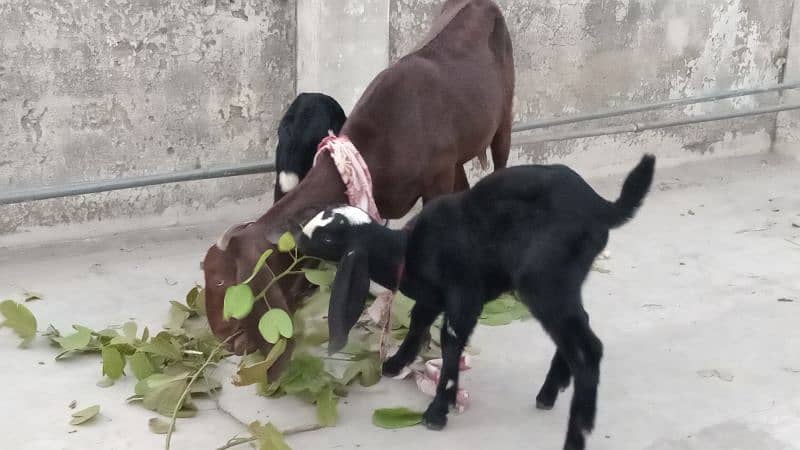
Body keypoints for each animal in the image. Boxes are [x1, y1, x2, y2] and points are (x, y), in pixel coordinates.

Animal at [296, 156, 652, 450]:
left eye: (327, 237)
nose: (298, 237)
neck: (408, 250)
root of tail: (602, 207)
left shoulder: (464, 295)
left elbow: (451, 342)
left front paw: (438, 411)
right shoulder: (434, 295)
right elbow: (418, 321)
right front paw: (395, 364)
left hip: (543, 281)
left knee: (588, 348)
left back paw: (575, 434)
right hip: (563, 282)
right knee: (580, 328)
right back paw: (551, 390)